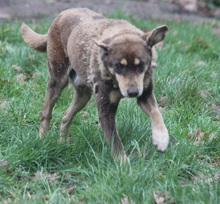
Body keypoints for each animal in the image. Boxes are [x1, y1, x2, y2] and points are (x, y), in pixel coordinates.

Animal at [20, 8, 169, 161]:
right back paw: (42, 140)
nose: (132, 93)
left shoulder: (145, 95)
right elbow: (115, 141)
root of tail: (63, 13)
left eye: (141, 65)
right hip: (57, 80)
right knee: (46, 112)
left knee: (66, 116)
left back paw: (63, 143)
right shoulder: (105, 109)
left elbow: (156, 113)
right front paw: (122, 163)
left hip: (83, 95)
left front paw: (161, 139)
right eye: (119, 66)